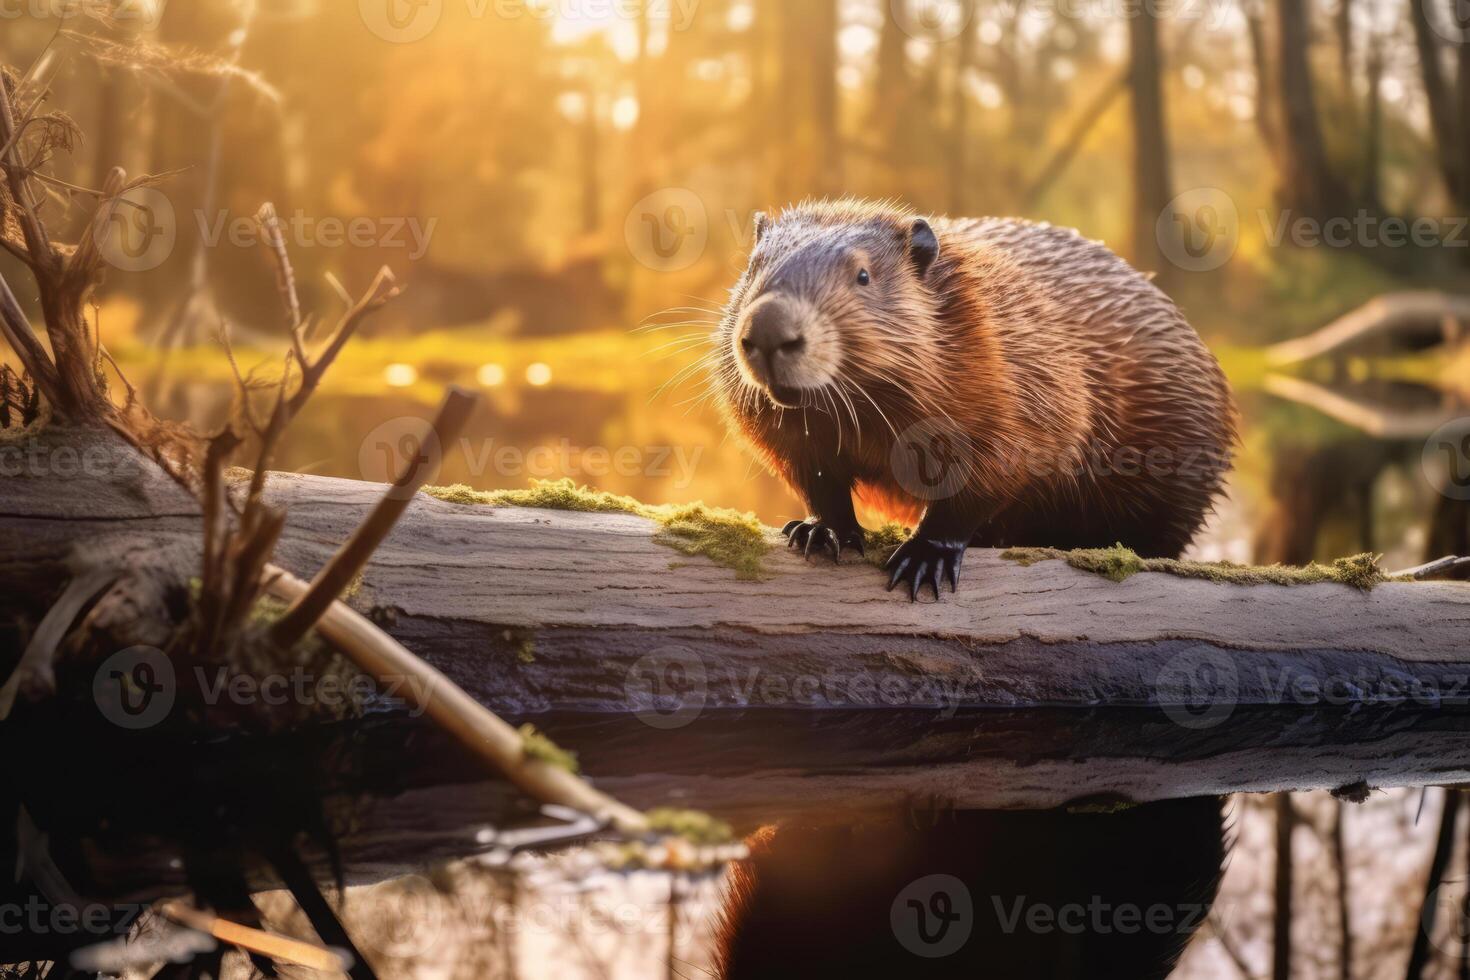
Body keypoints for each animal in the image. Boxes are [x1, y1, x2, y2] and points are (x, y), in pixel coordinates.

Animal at [717, 199, 1234, 599]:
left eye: (862, 275)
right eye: (753, 266)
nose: (768, 330)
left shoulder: (1026, 371)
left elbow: (997, 471)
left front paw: (924, 558)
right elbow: (814, 474)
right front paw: (819, 530)